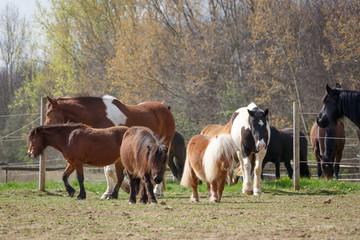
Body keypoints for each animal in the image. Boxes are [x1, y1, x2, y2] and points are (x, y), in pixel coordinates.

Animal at [44, 94, 174, 197]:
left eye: (48, 113)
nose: (45, 128)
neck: (98, 115)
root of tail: (166, 108)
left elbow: (111, 171)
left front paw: (124, 187)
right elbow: (108, 171)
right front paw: (109, 192)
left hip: (165, 143)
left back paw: (157, 191)